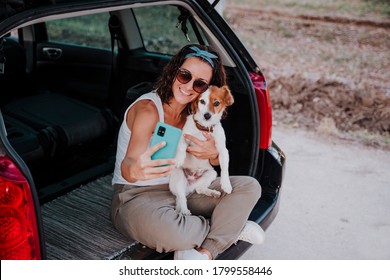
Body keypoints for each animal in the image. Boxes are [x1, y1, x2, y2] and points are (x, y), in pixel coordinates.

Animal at [168, 85, 235, 214]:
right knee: (181, 196)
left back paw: (212, 192)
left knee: (199, 189)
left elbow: (225, 168)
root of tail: (189, 185)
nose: (207, 115)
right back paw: (185, 210)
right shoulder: (184, 137)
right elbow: (181, 146)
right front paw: (179, 159)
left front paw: (226, 184)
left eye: (217, 103)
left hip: (211, 173)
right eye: (202, 101)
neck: (204, 128)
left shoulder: (223, 150)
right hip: (179, 175)